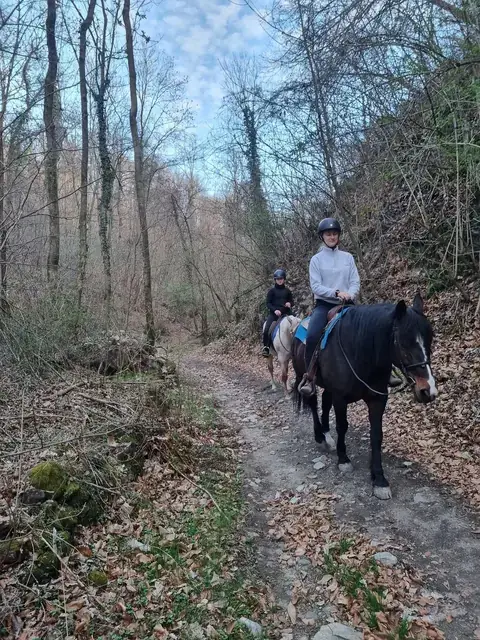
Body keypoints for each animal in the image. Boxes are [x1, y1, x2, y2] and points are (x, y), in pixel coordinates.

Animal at [292, 294, 437, 499]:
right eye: (403, 343)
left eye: (429, 341)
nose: (428, 390)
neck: (359, 352)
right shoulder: (340, 397)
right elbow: (342, 426)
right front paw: (343, 459)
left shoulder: (377, 399)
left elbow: (376, 435)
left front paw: (379, 479)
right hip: (305, 376)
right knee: (313, 403)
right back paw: (320, 436)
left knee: (325, 403)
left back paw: (327, 437)